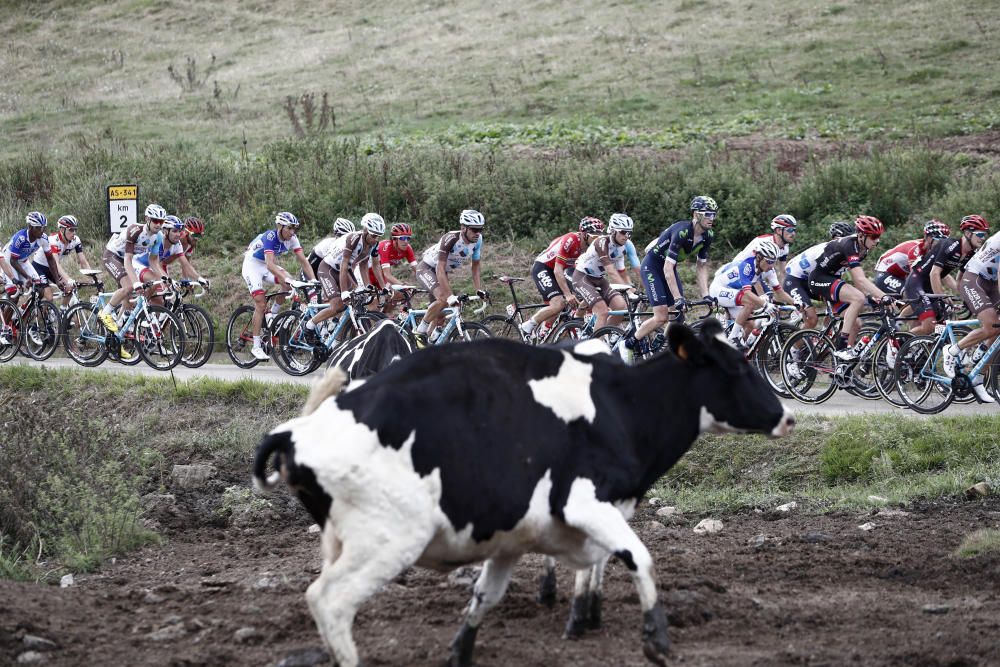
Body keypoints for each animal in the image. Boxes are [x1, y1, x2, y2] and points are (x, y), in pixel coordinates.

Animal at [254, 320, 792, 664]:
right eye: (738, 367)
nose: (786, 415)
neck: (620, 406)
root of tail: (298, 432)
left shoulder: (512, 536)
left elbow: (485, 597)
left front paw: (463, 650)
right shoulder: (584, 499)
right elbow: (640, 557)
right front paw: (653, 637)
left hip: (342, 542)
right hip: (387, 539)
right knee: (330, 602)